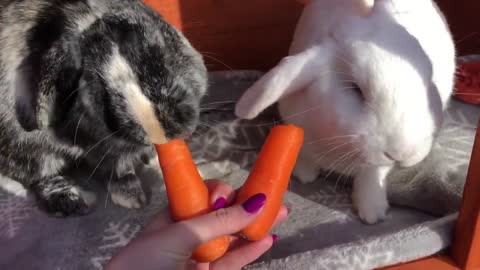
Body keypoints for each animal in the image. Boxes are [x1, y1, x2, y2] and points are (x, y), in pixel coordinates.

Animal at [0, 0, 206, 215]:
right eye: (100, 87)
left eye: (162, 51)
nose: (159, 132)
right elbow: (118, 167)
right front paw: (132, 199)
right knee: (37, 175)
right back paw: (76, 199)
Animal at [234, 0, 456, 224]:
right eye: (355, 89)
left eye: (429, 81)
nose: (402, 153)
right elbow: (304, 155)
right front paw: (305, 174)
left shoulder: (375, 165)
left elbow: (373, 173)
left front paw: (371, 212)